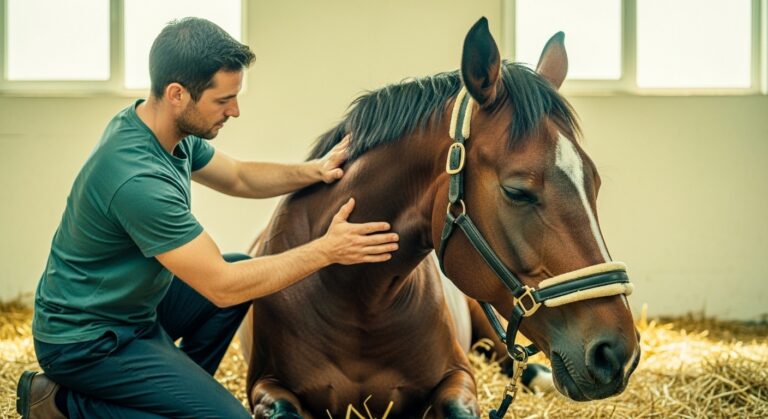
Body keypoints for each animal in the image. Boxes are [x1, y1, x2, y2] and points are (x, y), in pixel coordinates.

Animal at [242, 17, 640, 418]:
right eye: (516, 191)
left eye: (594, 183)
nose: (617, 353)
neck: (355, 299)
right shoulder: (266, 384)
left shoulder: (457, 375)